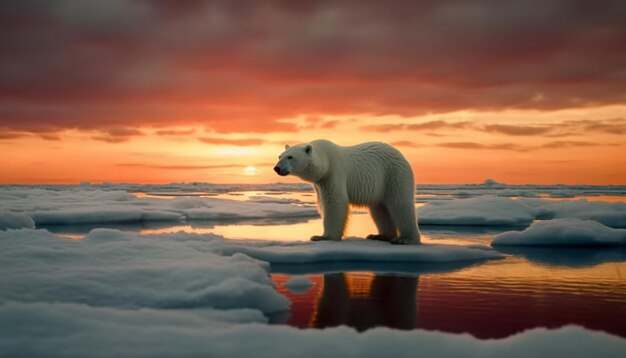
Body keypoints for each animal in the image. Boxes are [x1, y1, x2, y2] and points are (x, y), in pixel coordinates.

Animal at [272, 138, 420, 245]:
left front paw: (322, 236)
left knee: (400, 204)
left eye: (290, 157)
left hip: (393, 174)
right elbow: (323, 204)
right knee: (380, 209)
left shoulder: (333, 174)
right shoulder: (320, 183)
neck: (325, 162)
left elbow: (335, 202)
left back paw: (405, 239)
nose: (277, 168)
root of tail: (400, 154)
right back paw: (379, 235)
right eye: (280, 156)